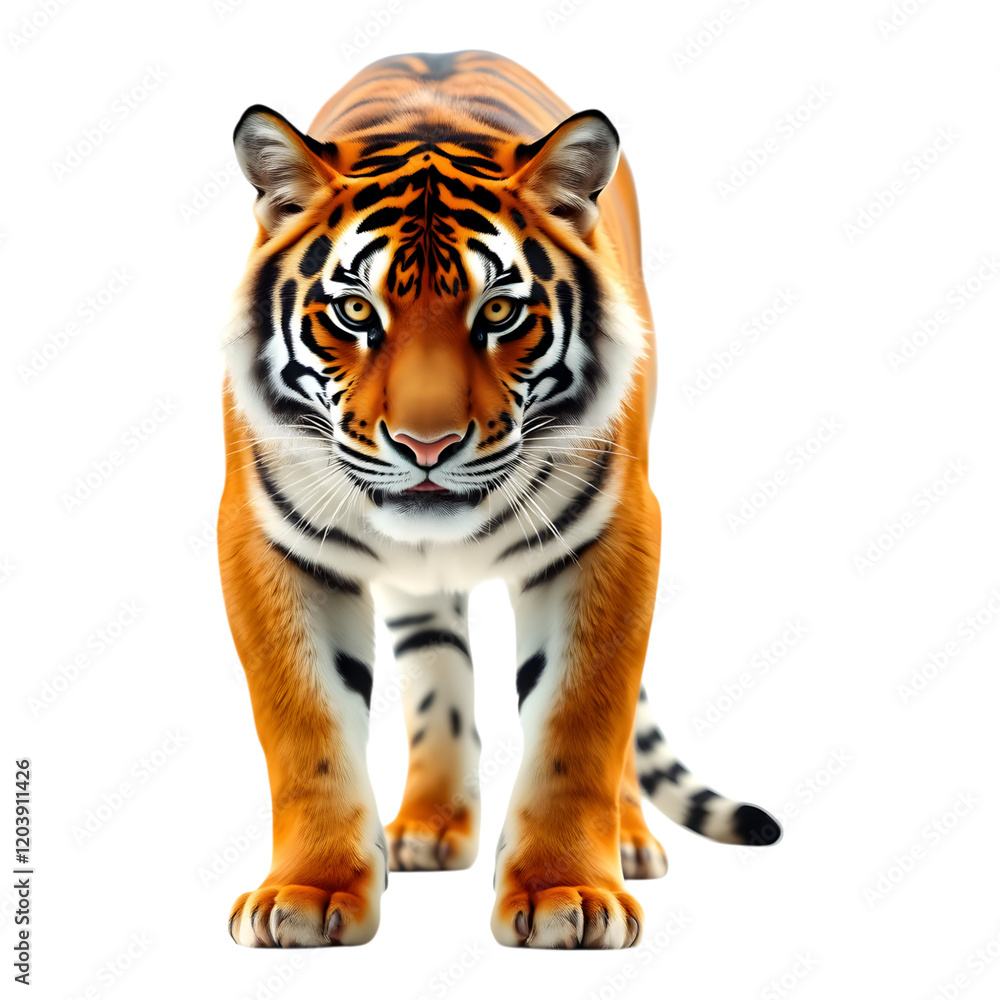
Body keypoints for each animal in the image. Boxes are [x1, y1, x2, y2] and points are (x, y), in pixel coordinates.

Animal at [219, 49, 781, 951]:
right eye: (355, 310)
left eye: (501, 311)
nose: (427, 446)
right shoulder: (269, 540)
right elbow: (307, 732)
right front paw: (308, 892)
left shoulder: (613, 534)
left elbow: (579, 725)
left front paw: (567, 894)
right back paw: (428, 829)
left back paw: (628, 842)